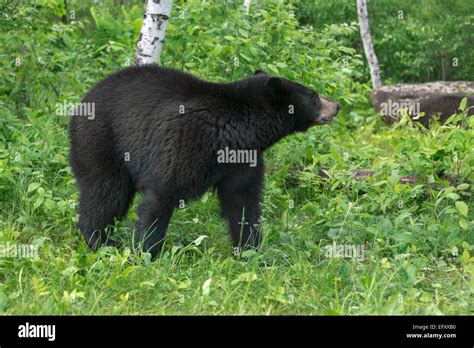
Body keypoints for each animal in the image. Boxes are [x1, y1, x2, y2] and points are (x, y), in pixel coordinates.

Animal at [68, 66, 340, 256]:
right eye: (314, 96)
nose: (336, 105)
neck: (237, 132)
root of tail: (82, 102)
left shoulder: (242, 160)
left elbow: (243, 202)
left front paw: (249, 251)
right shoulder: (185, 144)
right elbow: (161, 195)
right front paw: (146, 253)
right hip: (101, 142)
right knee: (106, 191)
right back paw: (103, 241)